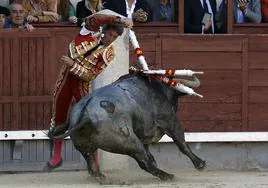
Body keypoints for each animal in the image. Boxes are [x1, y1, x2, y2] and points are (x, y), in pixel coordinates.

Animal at [50, 72, 205, 182]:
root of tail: (85, 114)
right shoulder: (170, 121)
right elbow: (182, 144)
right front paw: (200, 164)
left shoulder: (145, 134)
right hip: (129, 141)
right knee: (144, 162)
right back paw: (167, 176)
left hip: (86, 148)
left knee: (93, 165)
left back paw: (103, 178)